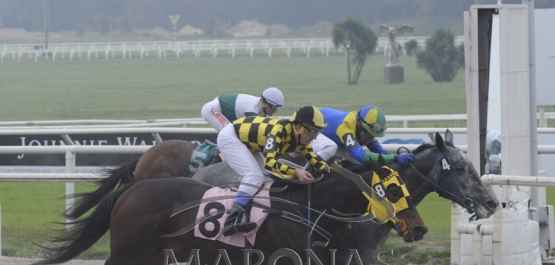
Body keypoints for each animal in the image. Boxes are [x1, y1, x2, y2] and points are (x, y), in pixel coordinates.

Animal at [34, 156, 428, 262]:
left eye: (408, 187)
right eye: (395, 189)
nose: (419, 228)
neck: (306, 206)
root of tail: (134, 187)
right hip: (130, 251)